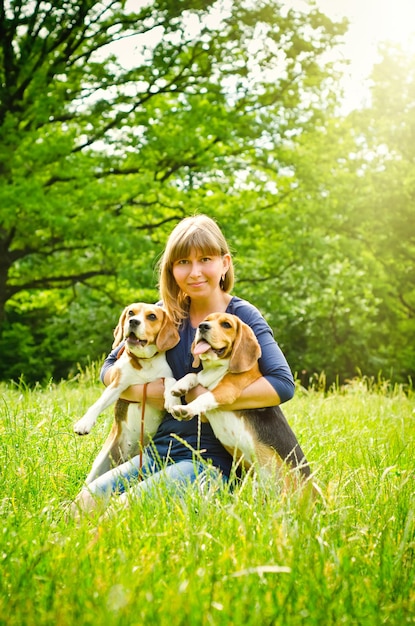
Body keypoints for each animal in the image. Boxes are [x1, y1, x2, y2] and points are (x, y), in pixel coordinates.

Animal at [75, 302, 179, 482]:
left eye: (152, 316)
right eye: (131, 312)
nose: (133, 321)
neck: (145, 362)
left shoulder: (166, 375)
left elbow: (170, 381)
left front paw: (173, 401)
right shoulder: (118, 384)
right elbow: (98, 404)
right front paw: (84, 422)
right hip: (98, 467)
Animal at [166, 314, 312, 486]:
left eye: (226, 325)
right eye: (207, 320)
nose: (202, 326)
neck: (215, 369)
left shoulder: (226, 390)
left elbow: (205, 395)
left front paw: (186, 409)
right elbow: (194, 375)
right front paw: (179, 386)